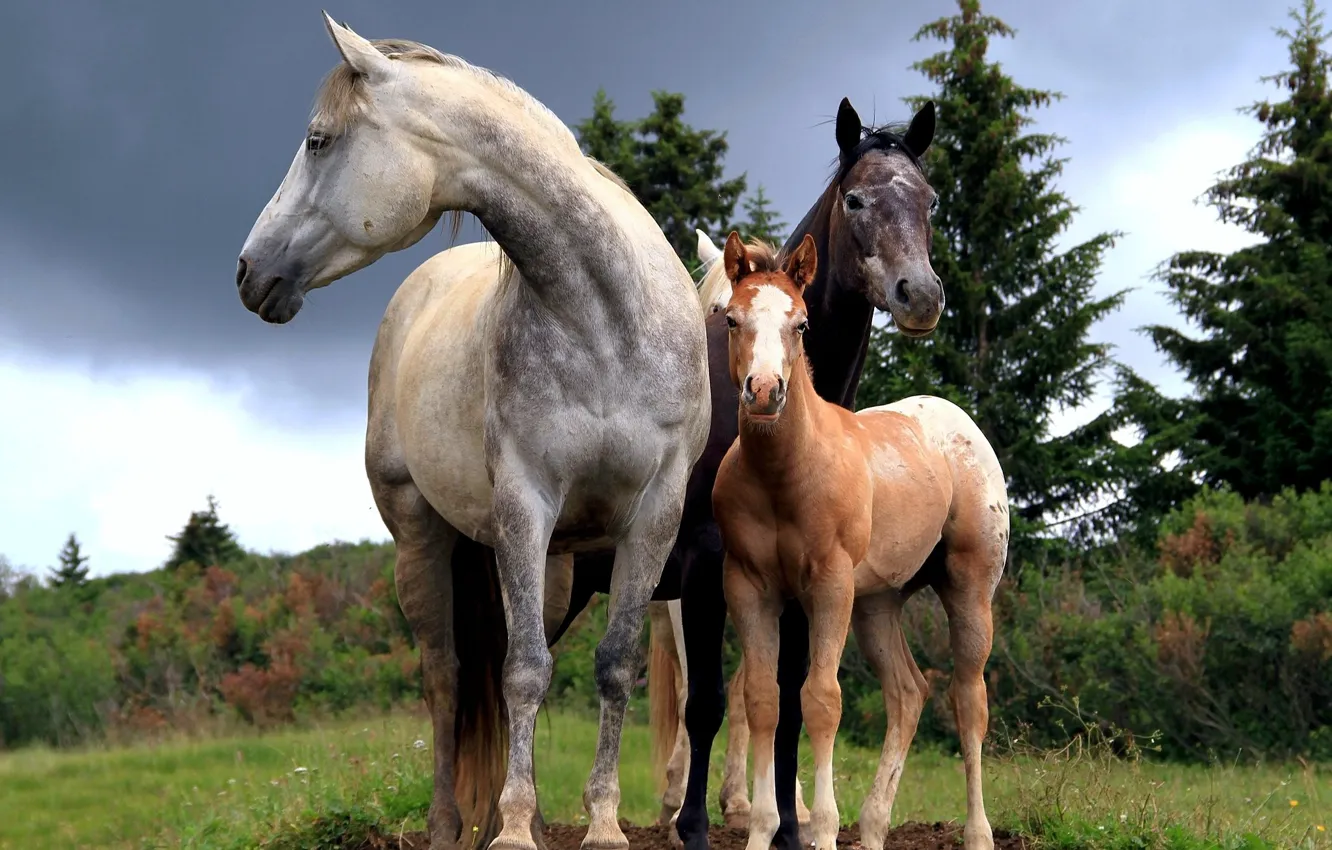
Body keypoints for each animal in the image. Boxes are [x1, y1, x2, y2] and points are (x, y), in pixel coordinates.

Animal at [234, 16, 711, 850]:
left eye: (319, 141)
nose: (248, 270)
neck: (606, 320)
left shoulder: (654, 513)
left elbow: (613, 664)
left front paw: (602, 824)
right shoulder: (525, 501)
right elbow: (520, 672)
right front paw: (514, 830)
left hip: (548, 564)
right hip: (423, 539)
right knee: (448, 676)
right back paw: (453, 823)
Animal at [547, 98, 945, 850]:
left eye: (930, 200)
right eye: (855, 199)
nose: (920, 295)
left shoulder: (797, 582)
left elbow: (784, 699)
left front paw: (787, 824)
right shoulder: (710, 568)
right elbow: (707, 701)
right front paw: (696, 825)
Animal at [711, 232, 1008, 850]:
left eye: (800, 323)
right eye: (731, 318)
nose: (765, 391)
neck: (785, 474)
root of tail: (959, 422)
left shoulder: (830, 585)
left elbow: (821, 701)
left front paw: (823, 828)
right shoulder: (748, 586)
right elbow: (763, 699)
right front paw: (763, 827)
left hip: (968, 590)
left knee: (968, 700)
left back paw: (977, 833)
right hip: (878, 604)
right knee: (908, 694)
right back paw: (872, 828)